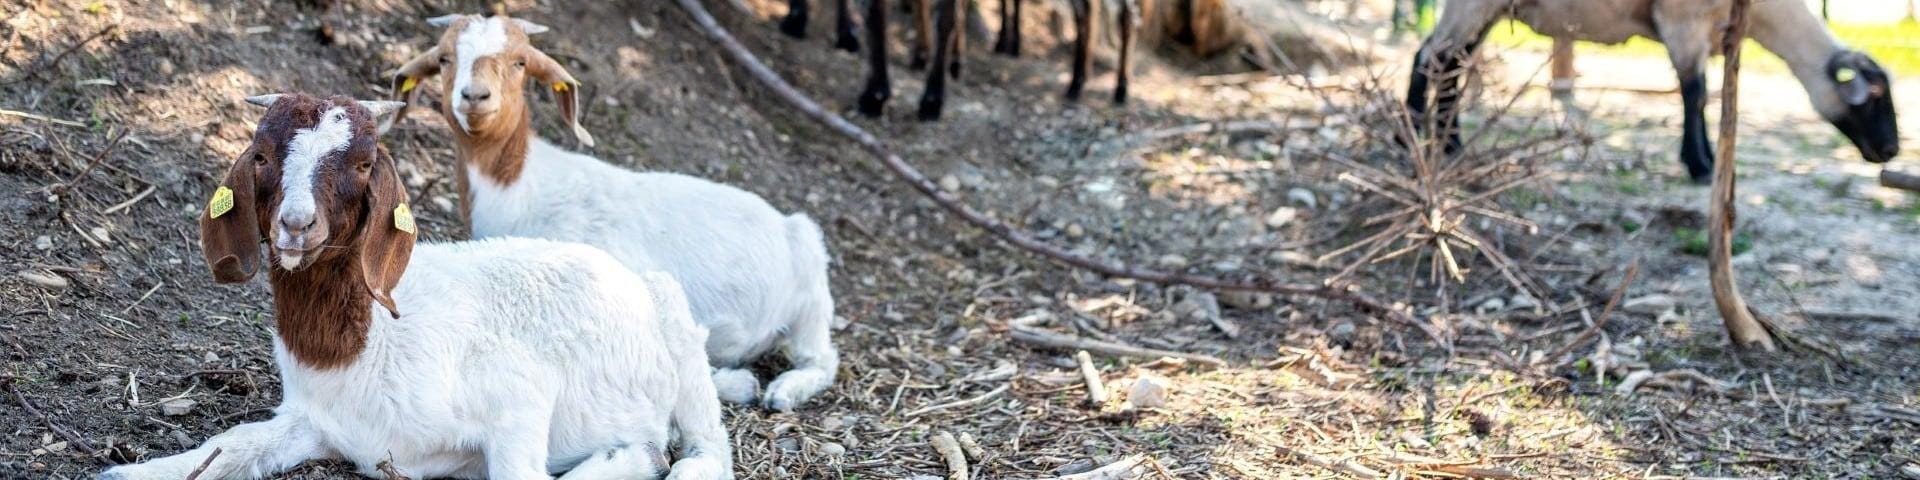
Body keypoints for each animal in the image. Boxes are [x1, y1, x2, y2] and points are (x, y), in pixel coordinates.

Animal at [101, 93, 737, 480]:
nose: (296, 225)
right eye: (260, 154)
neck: (370, 346)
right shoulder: (315, 423)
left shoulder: (519, 398)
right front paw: (128, 470)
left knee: (702, 450)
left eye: (363, 164)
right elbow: (232, 444)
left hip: (680, 336)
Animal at [384, 15, 840, 412]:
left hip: (811, 306)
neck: (524, 188)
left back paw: (779, 391)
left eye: (520, 62)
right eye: (445, 58)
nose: (476, 96)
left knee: (822, 358)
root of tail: (789, 225)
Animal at [1405, 0, 1896, 183]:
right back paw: (1414, 137)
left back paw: (1447, 144)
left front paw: (1707, 159)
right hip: (1472, 3)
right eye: (1872, 99)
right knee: (1430, 59)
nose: (1890, 151)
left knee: (1448, 66)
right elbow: (1694, 92)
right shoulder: (1683, 21)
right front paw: (1700, 166)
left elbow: (1703, 94)